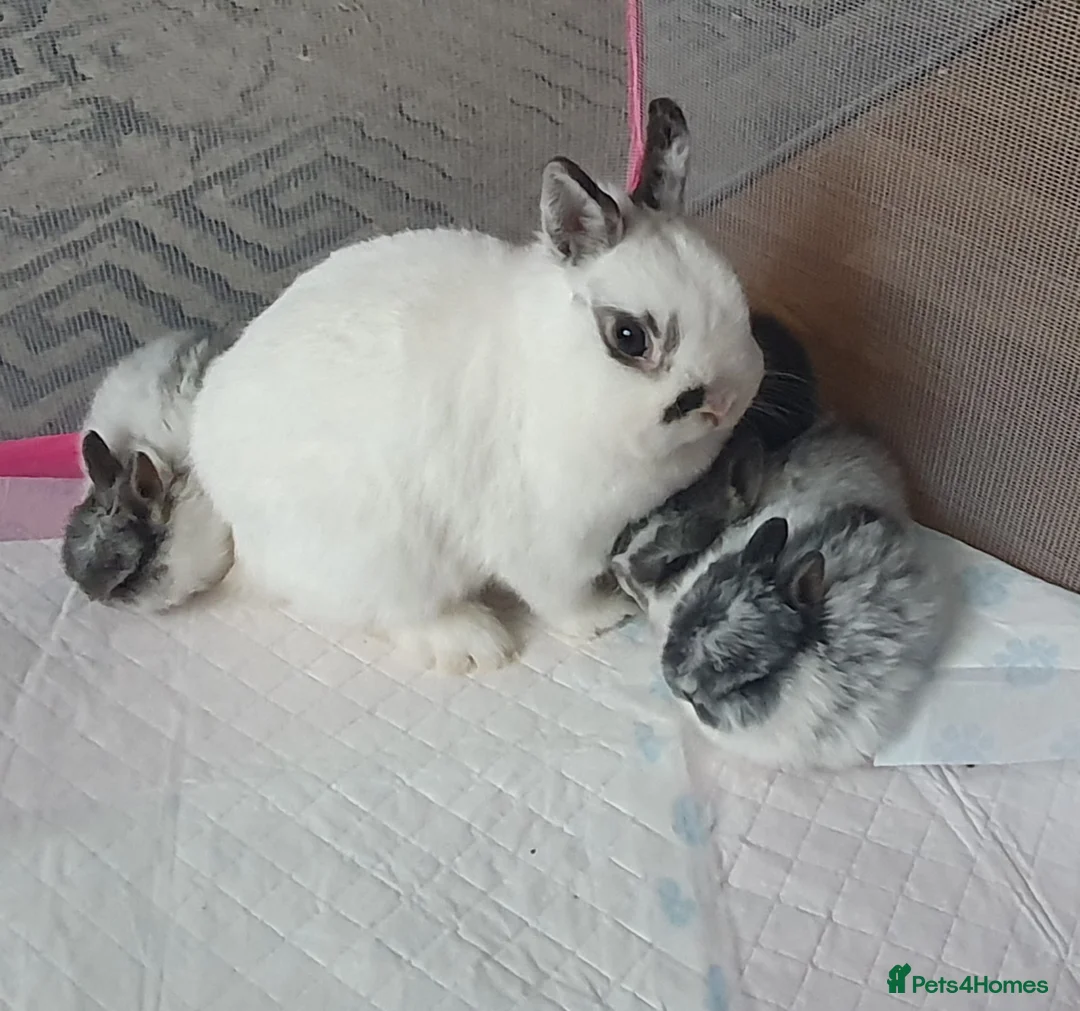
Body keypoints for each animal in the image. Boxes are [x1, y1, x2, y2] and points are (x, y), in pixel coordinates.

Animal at [189, 98, 765, 674]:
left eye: (735, 293)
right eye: (629, 337)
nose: (723, 402)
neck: (556, 371)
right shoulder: (547, 541)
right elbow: (562, 598)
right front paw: (607, 616)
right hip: (387, 560)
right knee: (398, 614)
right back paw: (474, 641)